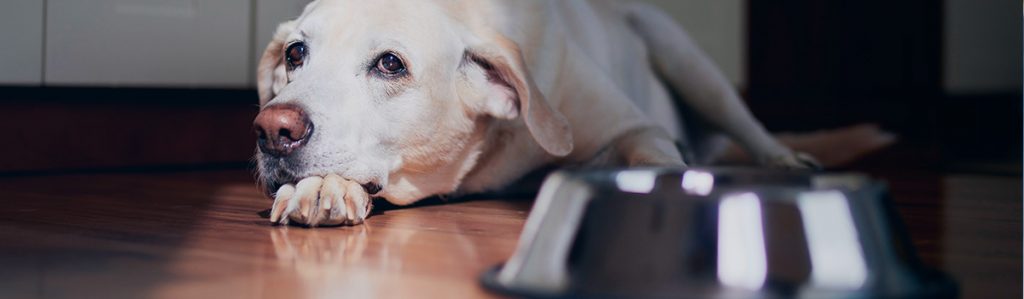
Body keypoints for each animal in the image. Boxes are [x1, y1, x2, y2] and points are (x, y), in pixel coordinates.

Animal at [256, 0, 823, 226]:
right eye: (295, 54)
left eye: (390, 64)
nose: (272, 130)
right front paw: (321, 188)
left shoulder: (634, 126)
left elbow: (653, 158)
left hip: (685, 57)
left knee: (746, 122)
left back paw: (786, 159)